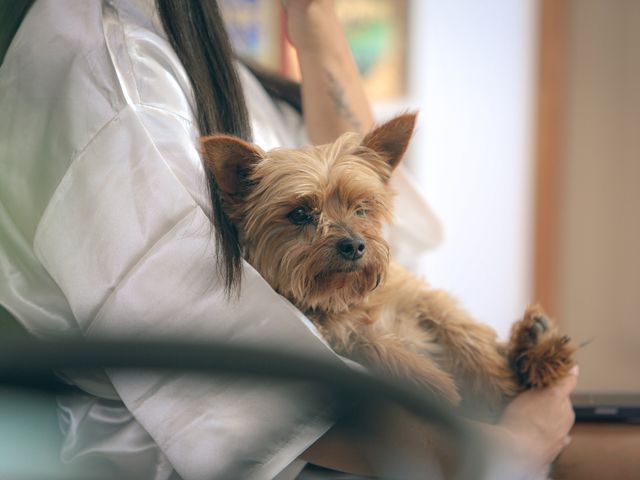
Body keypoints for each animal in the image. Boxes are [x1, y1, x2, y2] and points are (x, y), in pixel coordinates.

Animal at [201, 113, 576, 416]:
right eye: (300, 213)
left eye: (362, 207)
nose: (354, 245)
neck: (348, 298)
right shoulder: (341, 337)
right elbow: (373, 343)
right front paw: (433, 384)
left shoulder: (419, 294)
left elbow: (459, 326)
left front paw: (497, 384)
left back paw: (538, 346)